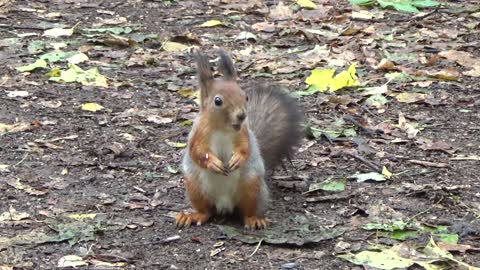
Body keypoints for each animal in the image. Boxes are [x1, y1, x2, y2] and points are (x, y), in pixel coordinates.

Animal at [176, 50, 302, 230]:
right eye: (218, 101)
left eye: (245, 96)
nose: (242, 115)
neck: (222, 128)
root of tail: (224, 206)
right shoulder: (198, 134)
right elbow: (197, 152)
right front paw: (213, 163)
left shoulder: (243, 133)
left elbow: (246, 148)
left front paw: (237, 159)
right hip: (195, 188)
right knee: (206, 211)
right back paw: (193, 216)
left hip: (251, 186)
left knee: (247, 211)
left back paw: (254, 219)